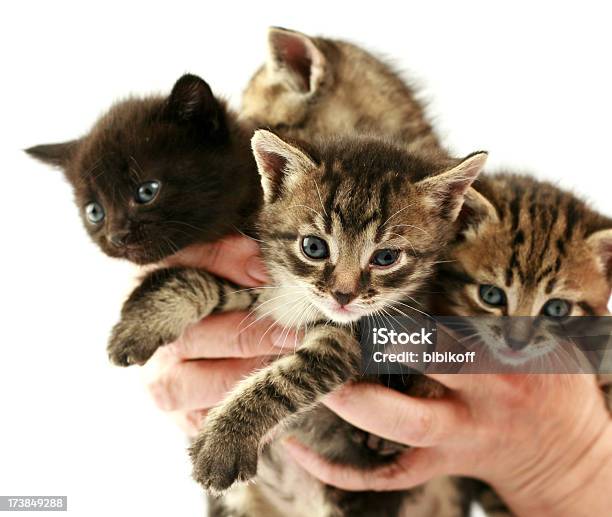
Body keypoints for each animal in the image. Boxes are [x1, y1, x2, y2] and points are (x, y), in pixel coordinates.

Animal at [107, 128, 486, 512]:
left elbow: (286, 379)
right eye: (314, 247)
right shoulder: (271, 291)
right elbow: (212, 285)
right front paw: (143, 323)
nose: (343, 296)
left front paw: (225, 441)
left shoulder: (349, 343)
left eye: (386, 257)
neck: (305, 305)